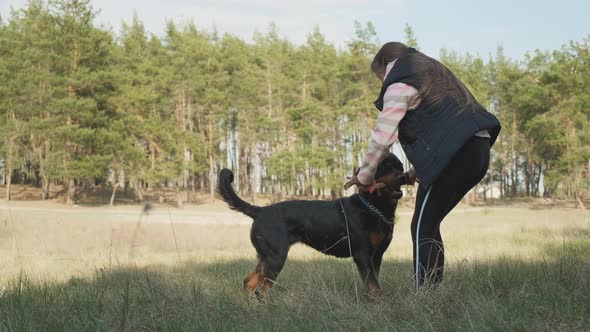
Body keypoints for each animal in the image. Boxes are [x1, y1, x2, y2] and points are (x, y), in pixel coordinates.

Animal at [217, 153, 408, 300]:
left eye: (400, 167)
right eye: (384, 168)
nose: (403, 176)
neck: (373, 206)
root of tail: (260, 210)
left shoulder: (376, 256)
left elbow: (374, 284)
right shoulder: (362, 255)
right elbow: (375, 288)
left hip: (266, 257)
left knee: (249, 283)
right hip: (276, 257)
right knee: (262, 290)